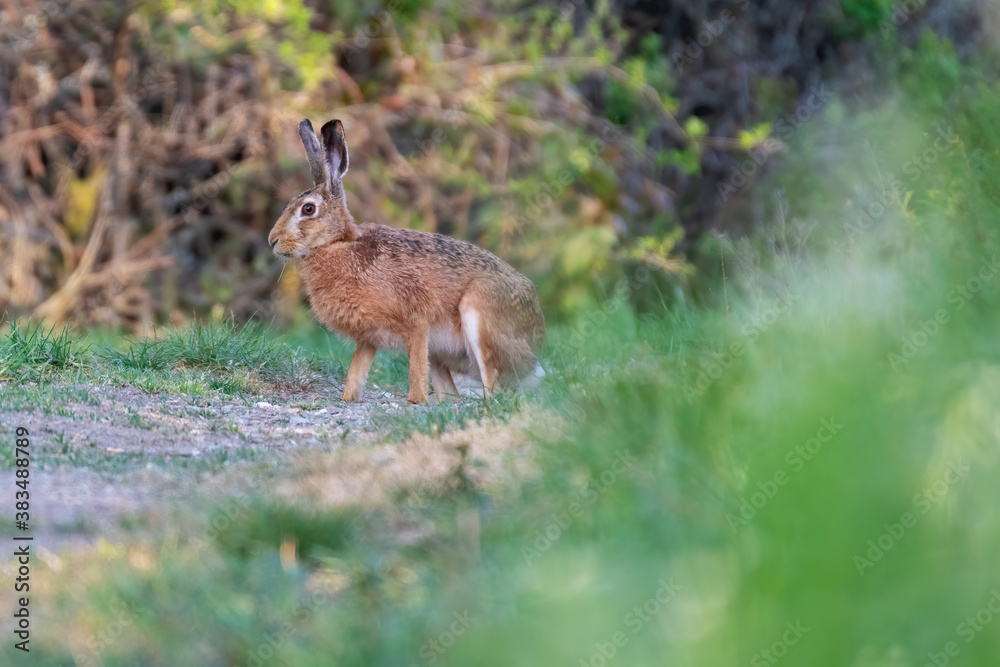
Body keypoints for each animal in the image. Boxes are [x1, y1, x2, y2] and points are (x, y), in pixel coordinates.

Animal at [268, 118, 546, 404]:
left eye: (308, 209)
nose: (272, 240)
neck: (337, 244)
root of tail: (535, 347)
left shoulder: (417, 323)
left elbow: (415, 371)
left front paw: (416, 400)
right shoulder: (369, 338)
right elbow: (356, 372)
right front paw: (348, 398)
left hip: (480, 310)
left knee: (494, 385)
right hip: (442, 354)